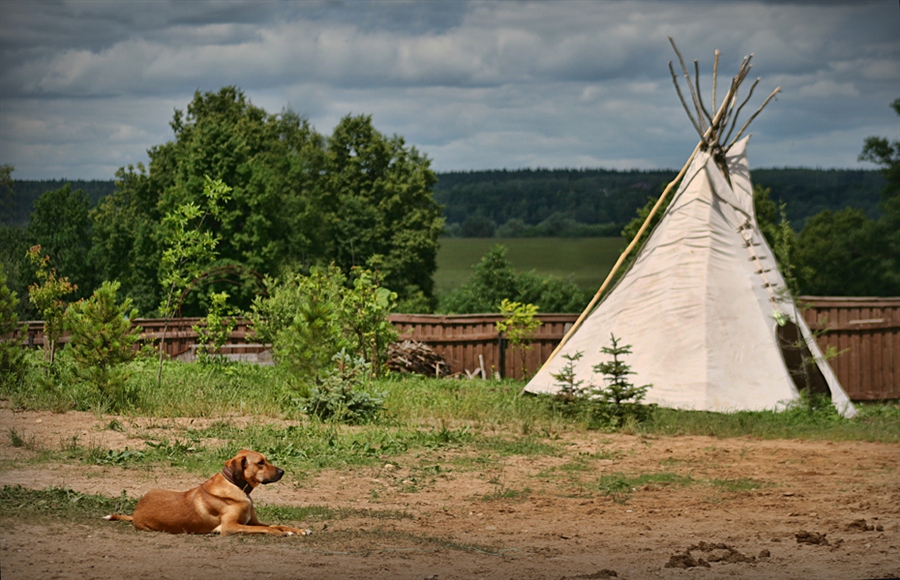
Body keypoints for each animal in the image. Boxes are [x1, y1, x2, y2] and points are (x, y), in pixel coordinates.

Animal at [103, 448, 310, 536]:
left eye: (266, 460)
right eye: (260, 463)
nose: (282, 471)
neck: (236, 486)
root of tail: (135, 511)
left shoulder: (253, 521)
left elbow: (277, 524)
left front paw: (298, 529)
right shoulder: (230, 527)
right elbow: (266, 529)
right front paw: (284, 533)